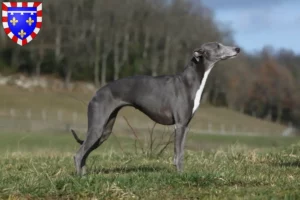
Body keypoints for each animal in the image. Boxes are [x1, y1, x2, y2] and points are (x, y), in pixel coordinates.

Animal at [71, 42, 240, 175]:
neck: (189, 81)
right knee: (79, 155)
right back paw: (81, 179)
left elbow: (181, 152)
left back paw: (85, 176)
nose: (238, 49)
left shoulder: (185, 126)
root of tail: (96, 93)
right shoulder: (179, 125)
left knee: (85, 154)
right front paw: (180, 176)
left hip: (105, 131)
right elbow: (178, 154)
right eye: (218, 46)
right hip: (97, 127)